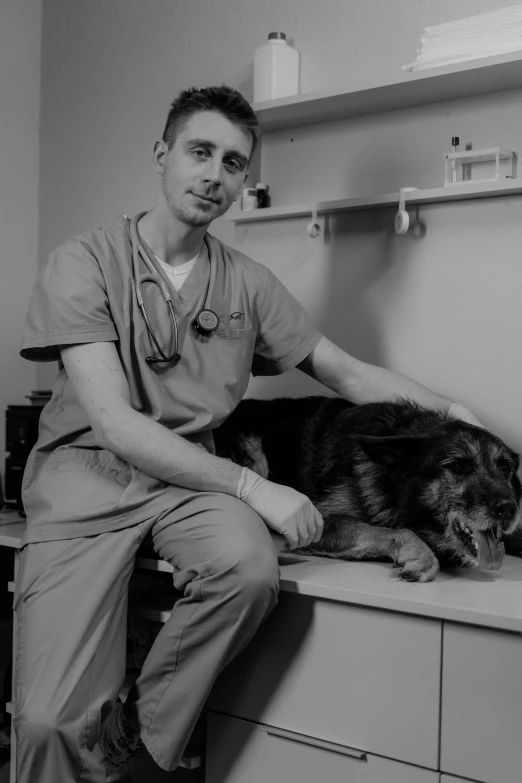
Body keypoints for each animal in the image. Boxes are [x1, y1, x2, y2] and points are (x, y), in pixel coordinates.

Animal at [213, 398, 516, 580]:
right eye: (459, 465)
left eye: (506, 468)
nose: (509, 509)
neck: (390, 480)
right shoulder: (320, 521)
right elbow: (386, 530)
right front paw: (420, 553)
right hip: (253, 449)